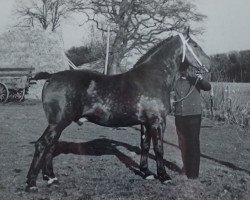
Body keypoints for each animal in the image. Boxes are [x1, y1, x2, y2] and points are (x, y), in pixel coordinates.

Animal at [25, 28, 211, 191]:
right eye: (195, 45)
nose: (209, 64)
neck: (153, 77)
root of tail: (51, 76)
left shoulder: (145, 123)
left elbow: (145, 145)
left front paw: (146, 173)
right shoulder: (157, 122)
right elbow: (159, 148)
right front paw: (164, 177)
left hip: (58, 124)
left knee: (51, 146)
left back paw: (51, 178)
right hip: (58, 123)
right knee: (43, 145)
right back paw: (31, 183)